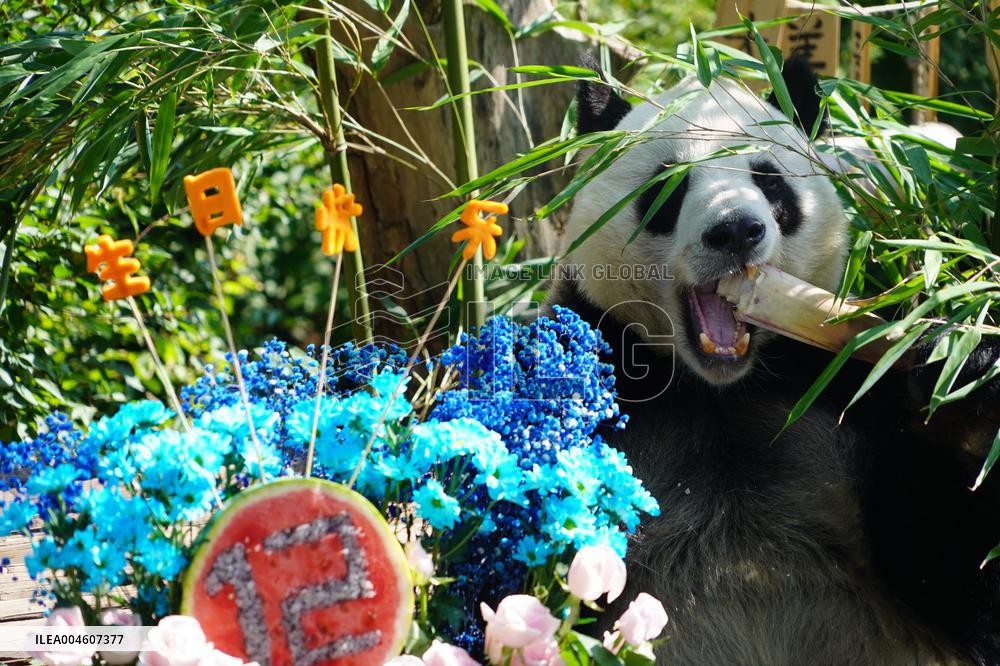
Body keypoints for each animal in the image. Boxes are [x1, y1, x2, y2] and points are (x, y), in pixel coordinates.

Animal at [548, 57, 1000, 665]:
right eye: (669, 185)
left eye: (769, 180)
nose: (736, 230)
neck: (718, 387)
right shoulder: (602, 365)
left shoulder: (841, 387)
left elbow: (949, 566)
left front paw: (965, 379)